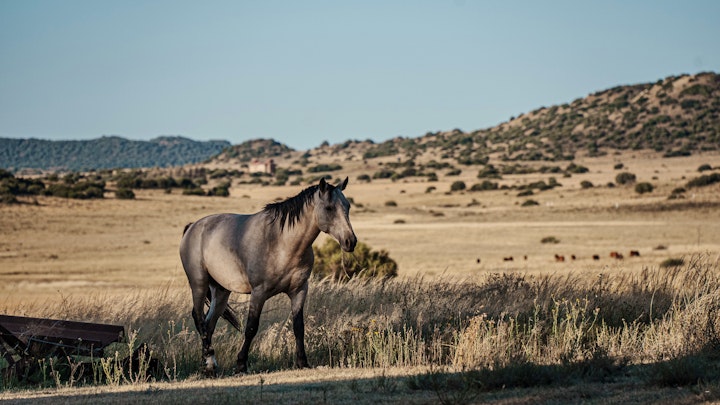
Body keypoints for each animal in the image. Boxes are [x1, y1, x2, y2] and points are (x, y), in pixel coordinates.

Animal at [179, 177, 356, 372]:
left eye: (347, 206)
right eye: (329, 208)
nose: (350, 241)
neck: (281, 243)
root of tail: (192, 227)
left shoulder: (299, 290)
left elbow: (298, 327)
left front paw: (302, 362)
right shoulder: (259, 292)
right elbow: (251, 328)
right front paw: (241, 364)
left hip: (221, 290)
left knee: (208, 324)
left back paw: (208, 365)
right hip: (199, 284)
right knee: (198, 318)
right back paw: (209, 362)